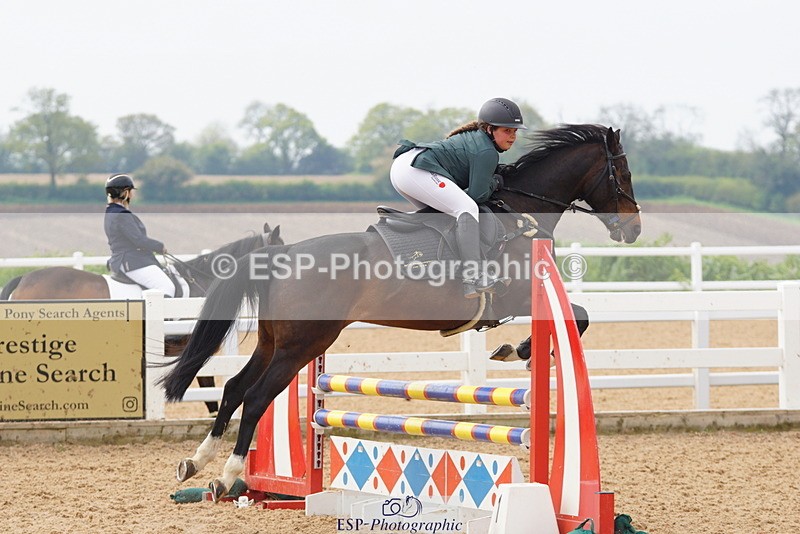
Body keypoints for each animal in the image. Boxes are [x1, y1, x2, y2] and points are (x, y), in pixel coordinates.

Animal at [160, 124, 641, 500]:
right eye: (623, 173)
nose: (633, 229)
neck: (522, 215)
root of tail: (282, 254)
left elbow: (577, 317)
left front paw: (517, 350)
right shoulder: (522, 295)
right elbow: (579, 315)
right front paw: (521, 350)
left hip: (273, 341)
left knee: (234, 389)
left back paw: (196, 463)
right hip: (303, 344)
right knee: (258, 396)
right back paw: (227, 476)